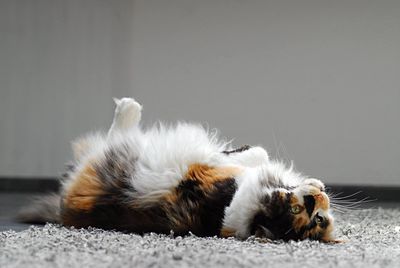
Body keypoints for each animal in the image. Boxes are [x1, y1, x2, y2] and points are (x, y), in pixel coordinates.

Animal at [18, 97, 338, 243]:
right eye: (315, 217)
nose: (318, 197)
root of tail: (63, 211)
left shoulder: (203, 170)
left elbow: (254, 154)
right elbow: (259, 153)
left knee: (114, 136)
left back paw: (128, 109)